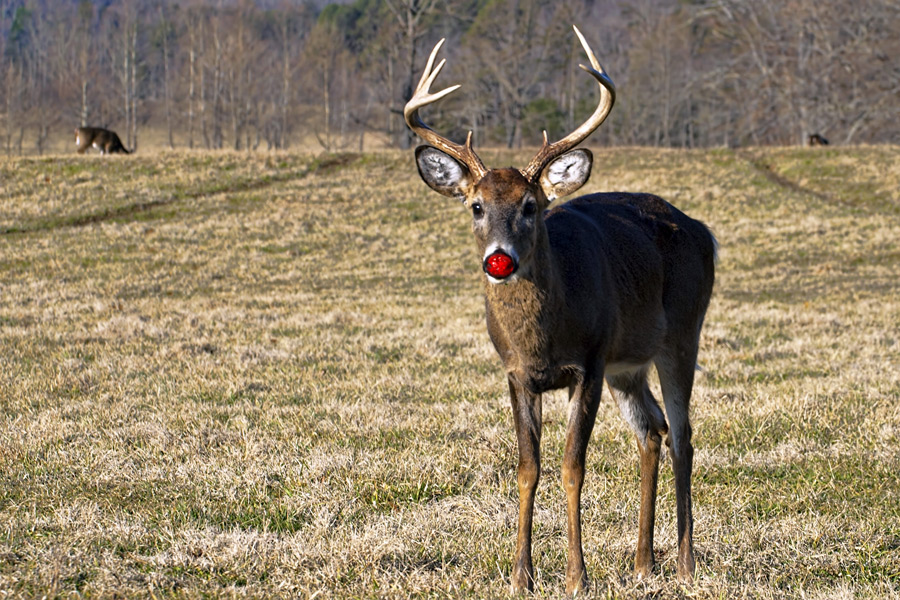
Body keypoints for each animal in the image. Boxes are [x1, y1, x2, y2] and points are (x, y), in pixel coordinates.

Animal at [404, 24, 712, 596]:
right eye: (476, 205)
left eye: (531, 206)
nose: (499, 258)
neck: (542, 340)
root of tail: (703, 231)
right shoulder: (516, 373)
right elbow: (528, 467)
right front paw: (520, 575)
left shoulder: (587, 364)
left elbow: (572, 467)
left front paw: (576, 576)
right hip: (627, 365)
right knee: (651, 431)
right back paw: (643, 563)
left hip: (682, 332)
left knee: (683, 435)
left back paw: (684, 563)